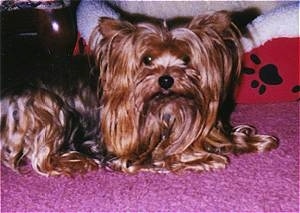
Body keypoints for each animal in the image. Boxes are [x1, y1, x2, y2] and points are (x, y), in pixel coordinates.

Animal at [0, 10, 278, 176]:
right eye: (147, 59)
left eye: (186, 59)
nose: (166, 79)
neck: (167, 107)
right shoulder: (129, 152)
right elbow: (165, 155)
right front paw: (207, 160)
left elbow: (226, 137)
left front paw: (256, 141)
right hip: (41, 103)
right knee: (41, 158)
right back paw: (75, 160)